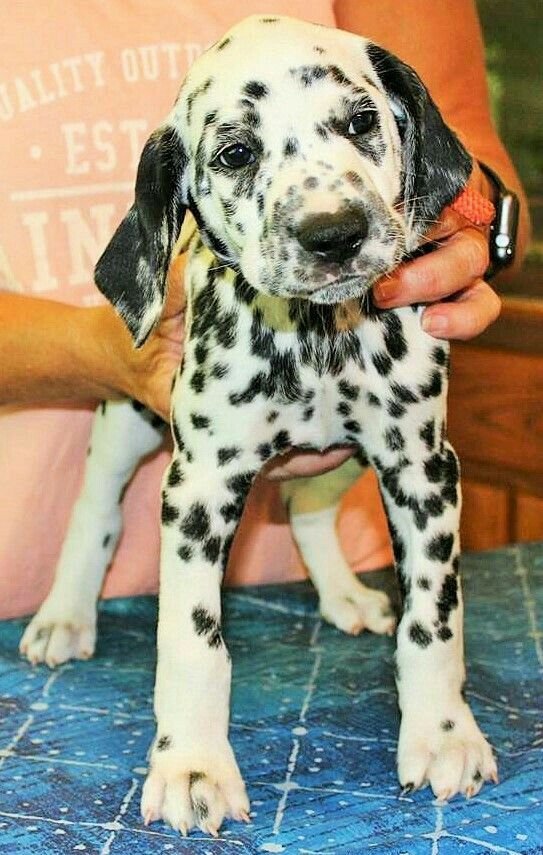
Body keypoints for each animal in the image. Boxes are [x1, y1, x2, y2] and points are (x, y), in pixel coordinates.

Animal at [20, 15, 498, 836]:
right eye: (235, 153)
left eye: (360, 121)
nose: (333, 232)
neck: (317, 335)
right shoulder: (199, 488)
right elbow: (191, 641)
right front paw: (192, 765)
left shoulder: (423, 467)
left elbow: (434, 621)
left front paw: (442, 733)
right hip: (125, 423)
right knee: (94, 511)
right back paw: (64, 615)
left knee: (306, 510)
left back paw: (343, 594)